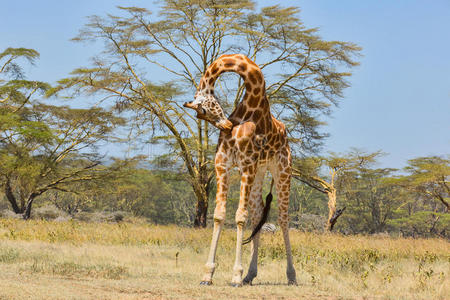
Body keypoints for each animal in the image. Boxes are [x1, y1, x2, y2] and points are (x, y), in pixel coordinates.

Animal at [183, 53, 296, 286]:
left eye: (203, 111)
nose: (226, 126)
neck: (251, 104)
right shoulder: (223, 165)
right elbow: (219, 214)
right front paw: (207, 274)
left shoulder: (247, 165)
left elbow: (240, 216)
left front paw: (235, 275)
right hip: (260, 174)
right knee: (258, 215)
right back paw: (250, 275)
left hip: (283, 170)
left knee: (283, 217)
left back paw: (291, 276)